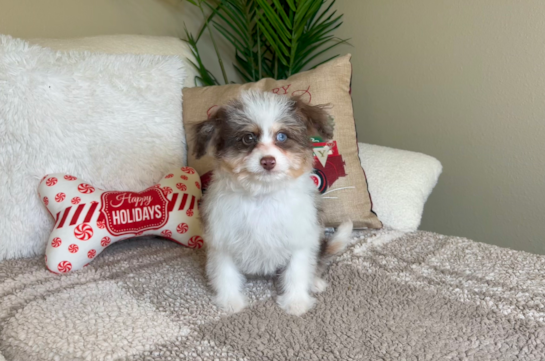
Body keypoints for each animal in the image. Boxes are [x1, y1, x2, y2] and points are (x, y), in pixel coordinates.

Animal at [193, 90, 350, 316]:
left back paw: (314, 282)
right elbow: (225, 274)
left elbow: (297, 272)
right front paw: (231, 302)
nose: (268, 161)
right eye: (248, 138)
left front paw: (296, 302)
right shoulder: (222, 240)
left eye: (282, 136)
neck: (263, 196)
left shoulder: (300, 239)